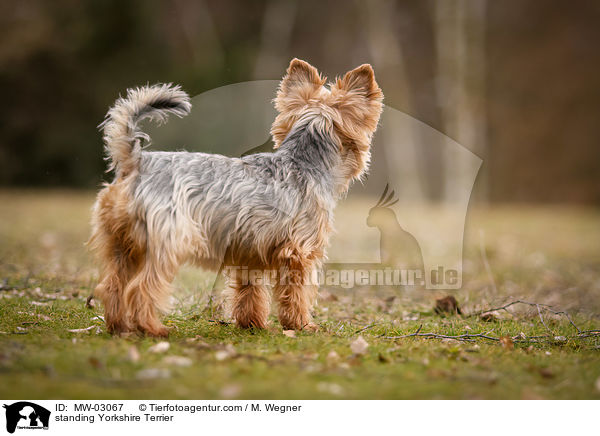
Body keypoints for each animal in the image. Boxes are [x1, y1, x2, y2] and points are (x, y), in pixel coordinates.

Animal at [89, 58, 382, 338]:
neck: (303, 161)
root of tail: (137, 161)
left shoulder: (248, 254)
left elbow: (249, 292)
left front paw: (252, 325)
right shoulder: (299, 254)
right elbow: (296, 294)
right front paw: (300, 325)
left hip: (121, 244)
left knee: (112, 284)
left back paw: (119, 327)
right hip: (168, 242)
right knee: (142, 287)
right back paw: (152, 329)